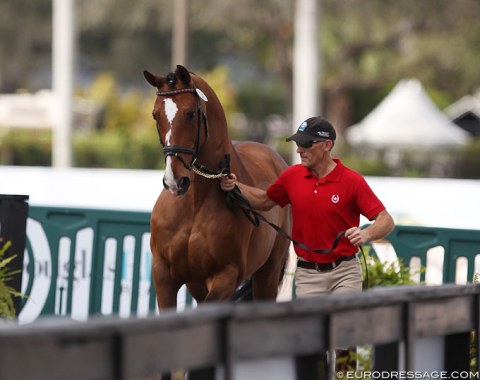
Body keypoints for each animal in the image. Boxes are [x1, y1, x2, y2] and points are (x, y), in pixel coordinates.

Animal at [142, 66, 290, 314]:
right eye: (155, 115)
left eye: (191, 114)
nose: (174, 181)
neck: (194, 204)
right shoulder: (164, 276)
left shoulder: (226, 276)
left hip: (268, 274)